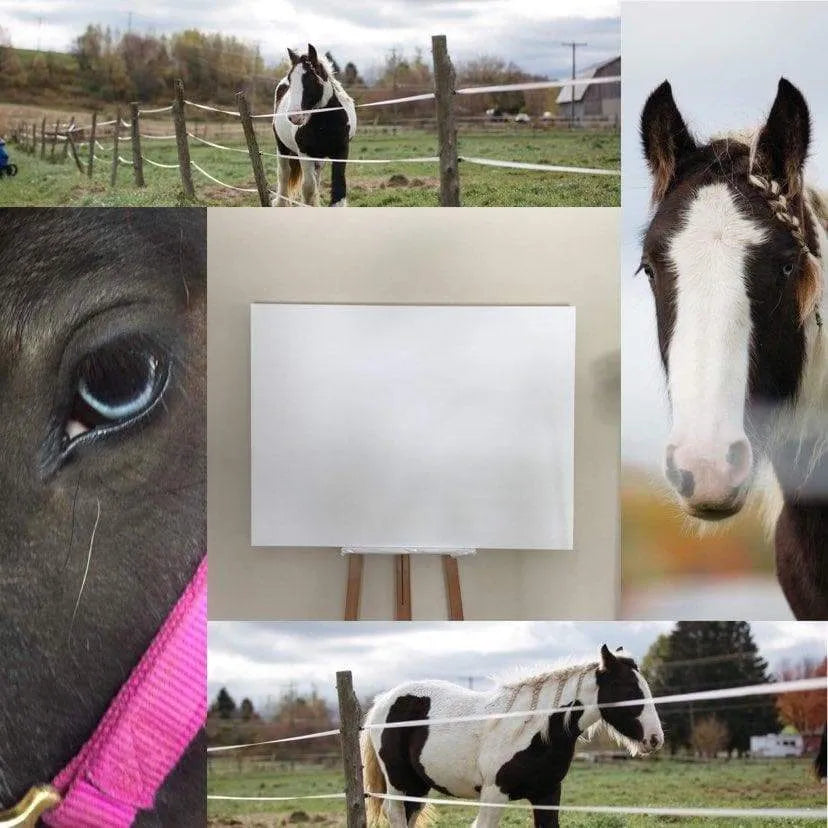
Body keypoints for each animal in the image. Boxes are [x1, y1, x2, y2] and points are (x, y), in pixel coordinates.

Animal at [272, 44, 356, 207]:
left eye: (311, 78)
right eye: (291, 79)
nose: (294, 116)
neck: (326, 122)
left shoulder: (342, 151)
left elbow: (338, 189)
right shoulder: (305, 153)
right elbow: (308, 189)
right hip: (282, 148)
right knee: (284, 175)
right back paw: (280, 202)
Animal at [362, 645, 663, 828]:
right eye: (627, 688)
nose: (655, 738)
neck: (534, 731)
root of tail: (382, 701)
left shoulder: (547, 793)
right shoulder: (494, 795)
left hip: (417, 785)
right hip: (398, 781)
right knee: (395, 813)